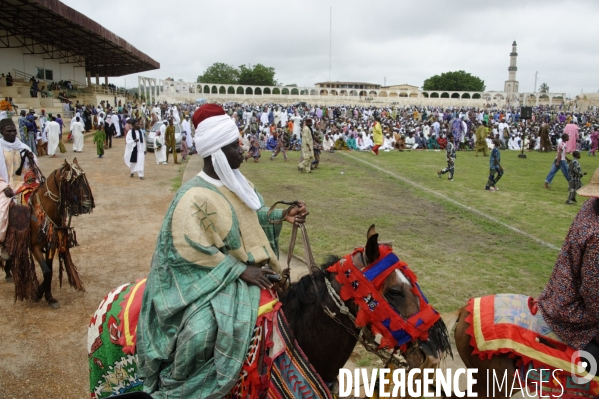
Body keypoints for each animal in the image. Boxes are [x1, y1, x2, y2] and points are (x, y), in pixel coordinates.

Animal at [4, 159, 94, 310]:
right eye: (73, 183)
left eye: (83, 180)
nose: (87, 205)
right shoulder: (34, 247)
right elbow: (46, 271)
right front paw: (37, 294)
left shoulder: (51, 245)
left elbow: (50, 271)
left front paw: (49, 297)